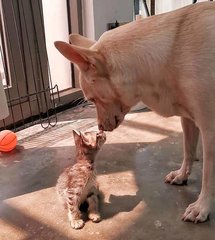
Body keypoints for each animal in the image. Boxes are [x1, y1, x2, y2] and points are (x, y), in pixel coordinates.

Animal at [55, 2, 215, 223]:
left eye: (92, 100)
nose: (100, 127)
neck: (170, 54)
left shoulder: (210, 129)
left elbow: (209, 173)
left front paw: (203, 205)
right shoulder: (188, 120)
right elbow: (188, 151)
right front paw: (182, 175)